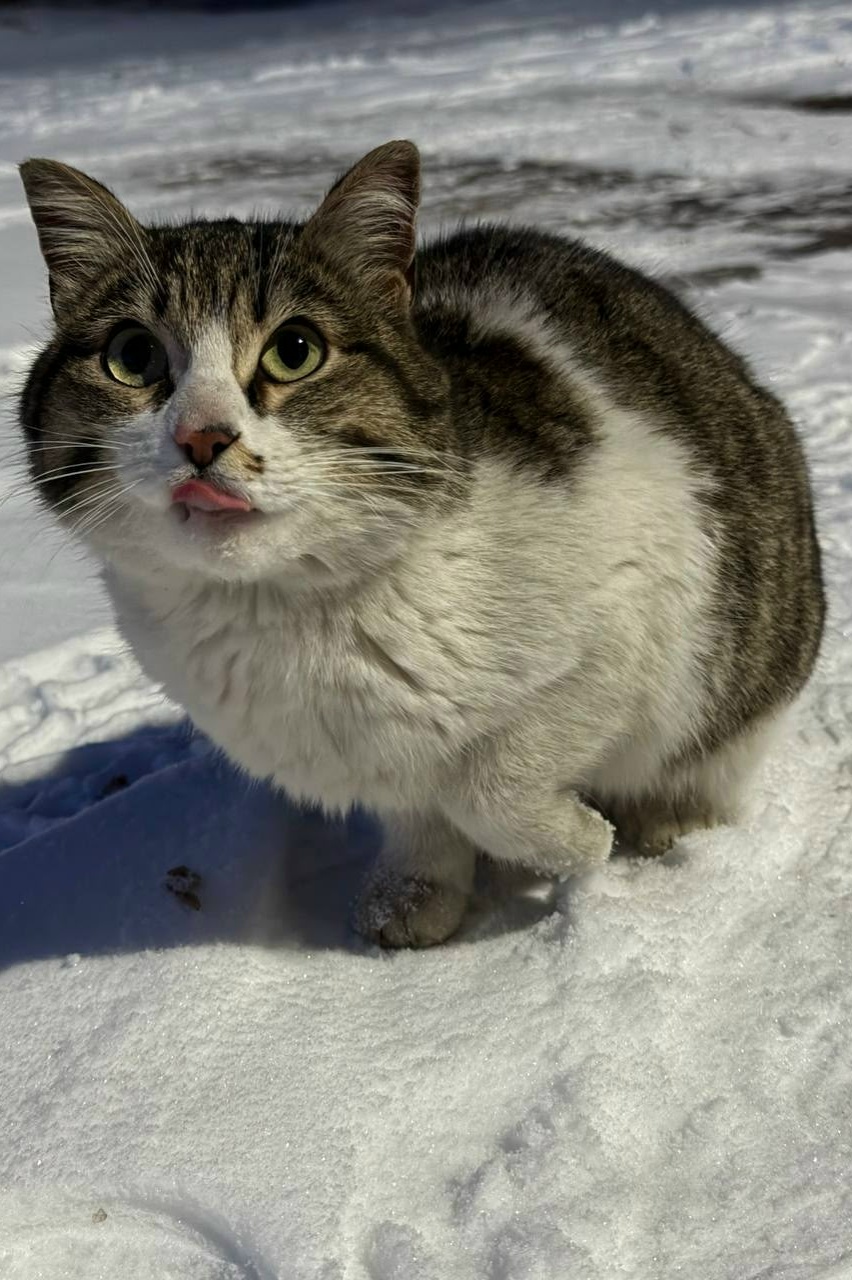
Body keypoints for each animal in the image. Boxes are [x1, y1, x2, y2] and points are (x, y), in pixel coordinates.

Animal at [18, 140, 825, 947]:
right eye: (132, 356)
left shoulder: (636, 614)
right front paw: (412, 895)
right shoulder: (371, 755)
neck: (283, 611)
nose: (202, 436)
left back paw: (668, 826)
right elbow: (421, 813)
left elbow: (491, 787)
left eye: (294, 350)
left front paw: (583, 843)